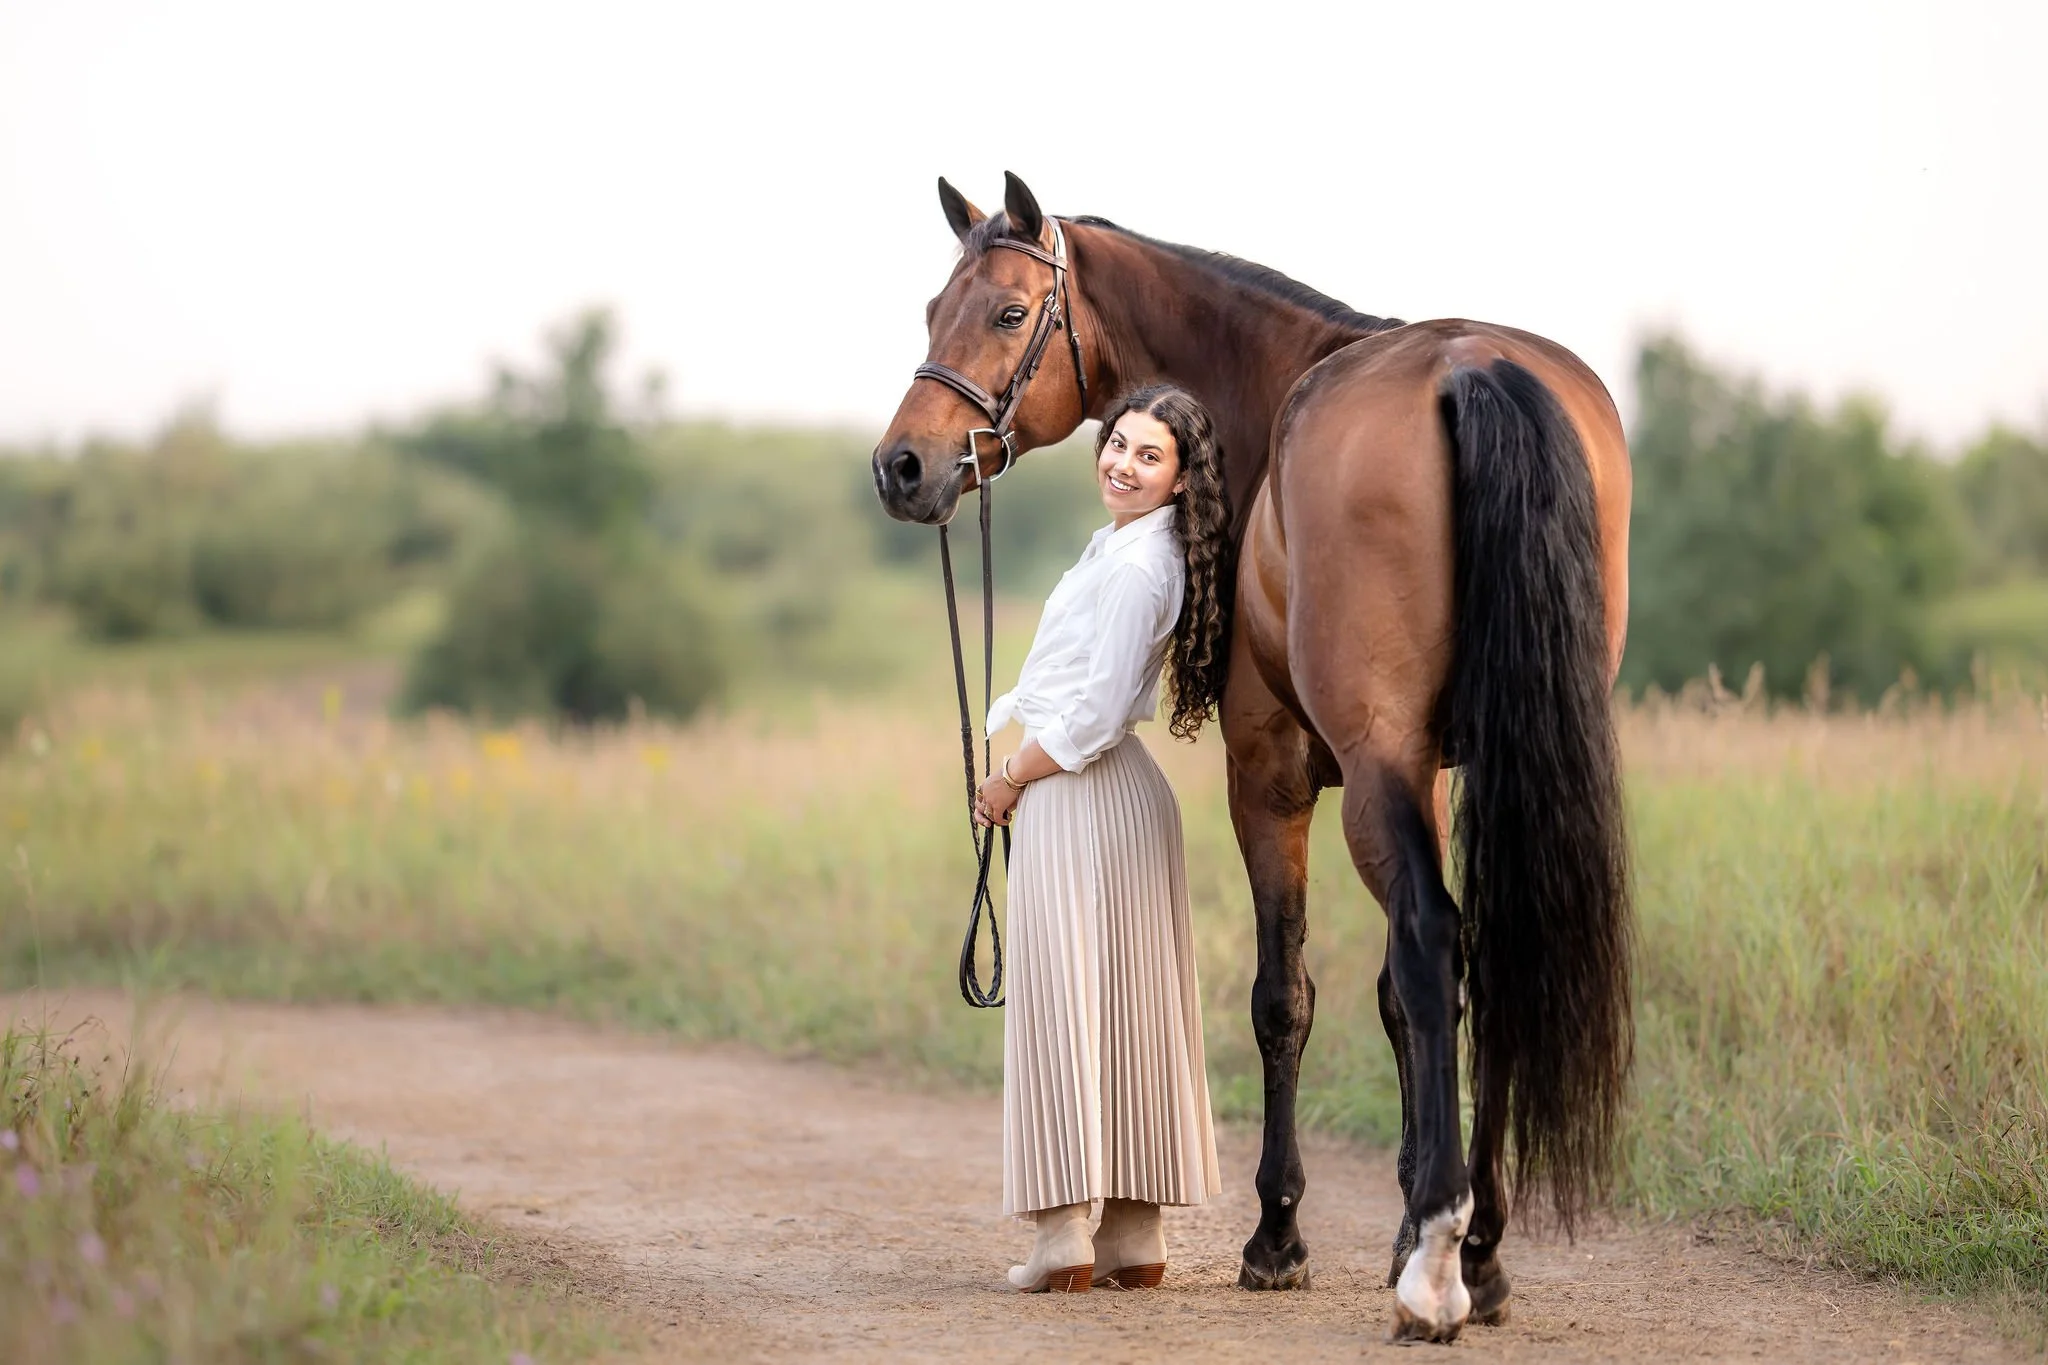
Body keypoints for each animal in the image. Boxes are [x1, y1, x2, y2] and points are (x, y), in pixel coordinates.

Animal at [872, 172, 1633, 1344]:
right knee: (1489, 948)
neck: (1270, 397)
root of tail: (1474, 366)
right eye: (928, 311)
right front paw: (1404, 1227)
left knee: (1429, 942)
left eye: (1006, 312)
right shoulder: (1440, 770)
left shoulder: (1271, 775)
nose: (902, 467)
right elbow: (1392, 996)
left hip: (1369, 767)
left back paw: (1437, 1271)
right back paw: (1483, 1251)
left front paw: (1280, 1239)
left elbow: (1290, 996)